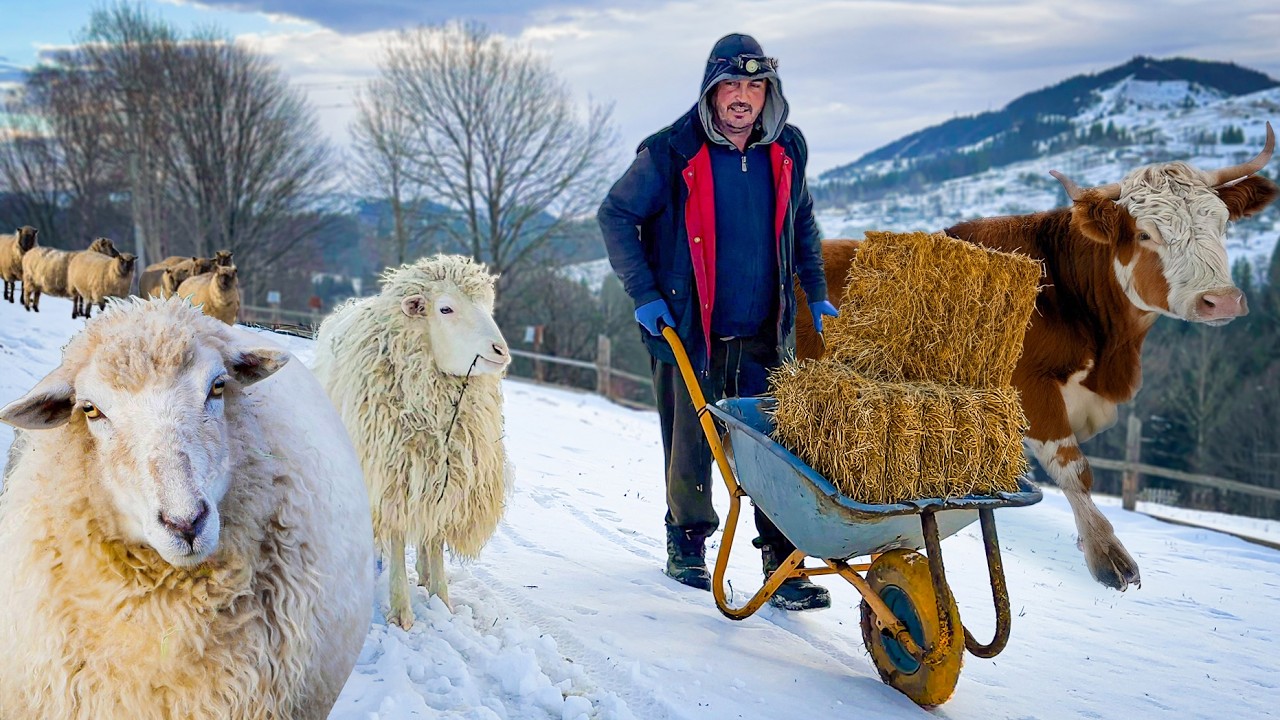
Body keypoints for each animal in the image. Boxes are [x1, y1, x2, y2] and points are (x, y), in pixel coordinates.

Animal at [312, 254, 512, 628]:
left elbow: (434, 540)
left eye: (487, 305)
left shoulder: (448, 476)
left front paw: (441, 600)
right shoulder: (390, 475)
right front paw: (401, 610)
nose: (501, 351)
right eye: (445, 309)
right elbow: (396, 535)